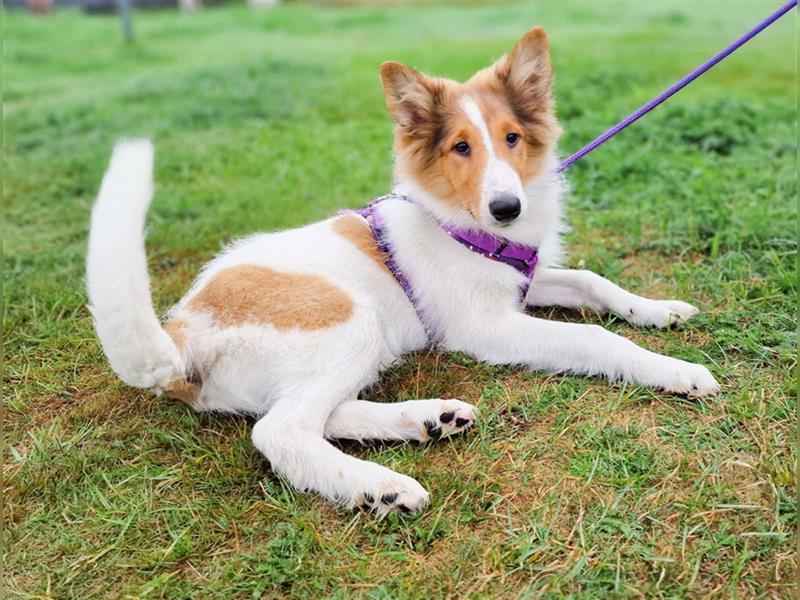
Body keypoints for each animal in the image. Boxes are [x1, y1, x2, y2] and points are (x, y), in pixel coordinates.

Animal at [86, 28, 720, 516]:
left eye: (512, 138)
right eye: (460, 148)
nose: (507, 208)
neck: (460, 222)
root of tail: (180, 335)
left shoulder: (522, 279)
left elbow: (592, 281)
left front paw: (659, 310)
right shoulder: (486, 326)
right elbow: (593, 336)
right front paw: (675, 371)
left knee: (315, 414)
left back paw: (428, 419)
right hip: (349, 319)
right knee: (280, 431)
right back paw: (381, 486)